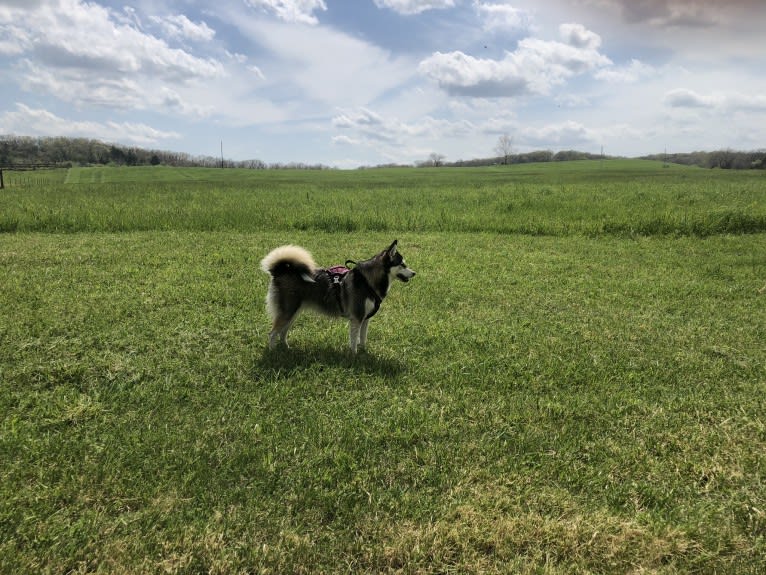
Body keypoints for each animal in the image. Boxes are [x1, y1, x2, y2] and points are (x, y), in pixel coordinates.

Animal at [260, 241, 416, 354]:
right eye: (402, 264)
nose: (414, 273)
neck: (368, 281)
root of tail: (279, 271)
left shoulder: (365, 319)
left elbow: (363, 338)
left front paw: (364, 352)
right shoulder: (357, 318)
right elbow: (354, 339)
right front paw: (354, 356)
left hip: (293, 313)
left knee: (283, 332)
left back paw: (286, 348)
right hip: (288, 312)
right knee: (272, 333)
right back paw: (273, 352)